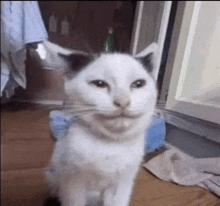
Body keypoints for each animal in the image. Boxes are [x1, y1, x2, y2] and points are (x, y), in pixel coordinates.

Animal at [41, 41, 158, 205]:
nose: (123, 101)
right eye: (100, 84)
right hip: (53, 175)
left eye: (138, 83)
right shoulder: (73, 184)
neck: (110, 145)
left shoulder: (123, 183)